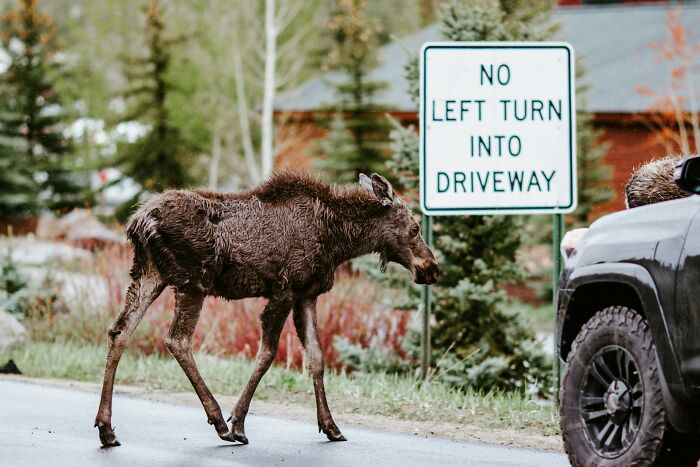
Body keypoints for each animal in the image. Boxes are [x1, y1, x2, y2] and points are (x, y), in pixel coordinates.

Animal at [94, 172, 439, 447]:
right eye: (414, 227)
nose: (432, 268)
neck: (339, 241)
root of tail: (138, 222)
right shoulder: (283, 290)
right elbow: (268, 353)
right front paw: (238, 423)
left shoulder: (307, 295)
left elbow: (316, 357)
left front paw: (330, 426)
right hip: (193, 282)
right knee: (177, 340)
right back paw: (218, 422)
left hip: (150, 273)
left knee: (119, 330)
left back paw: (106, 429)